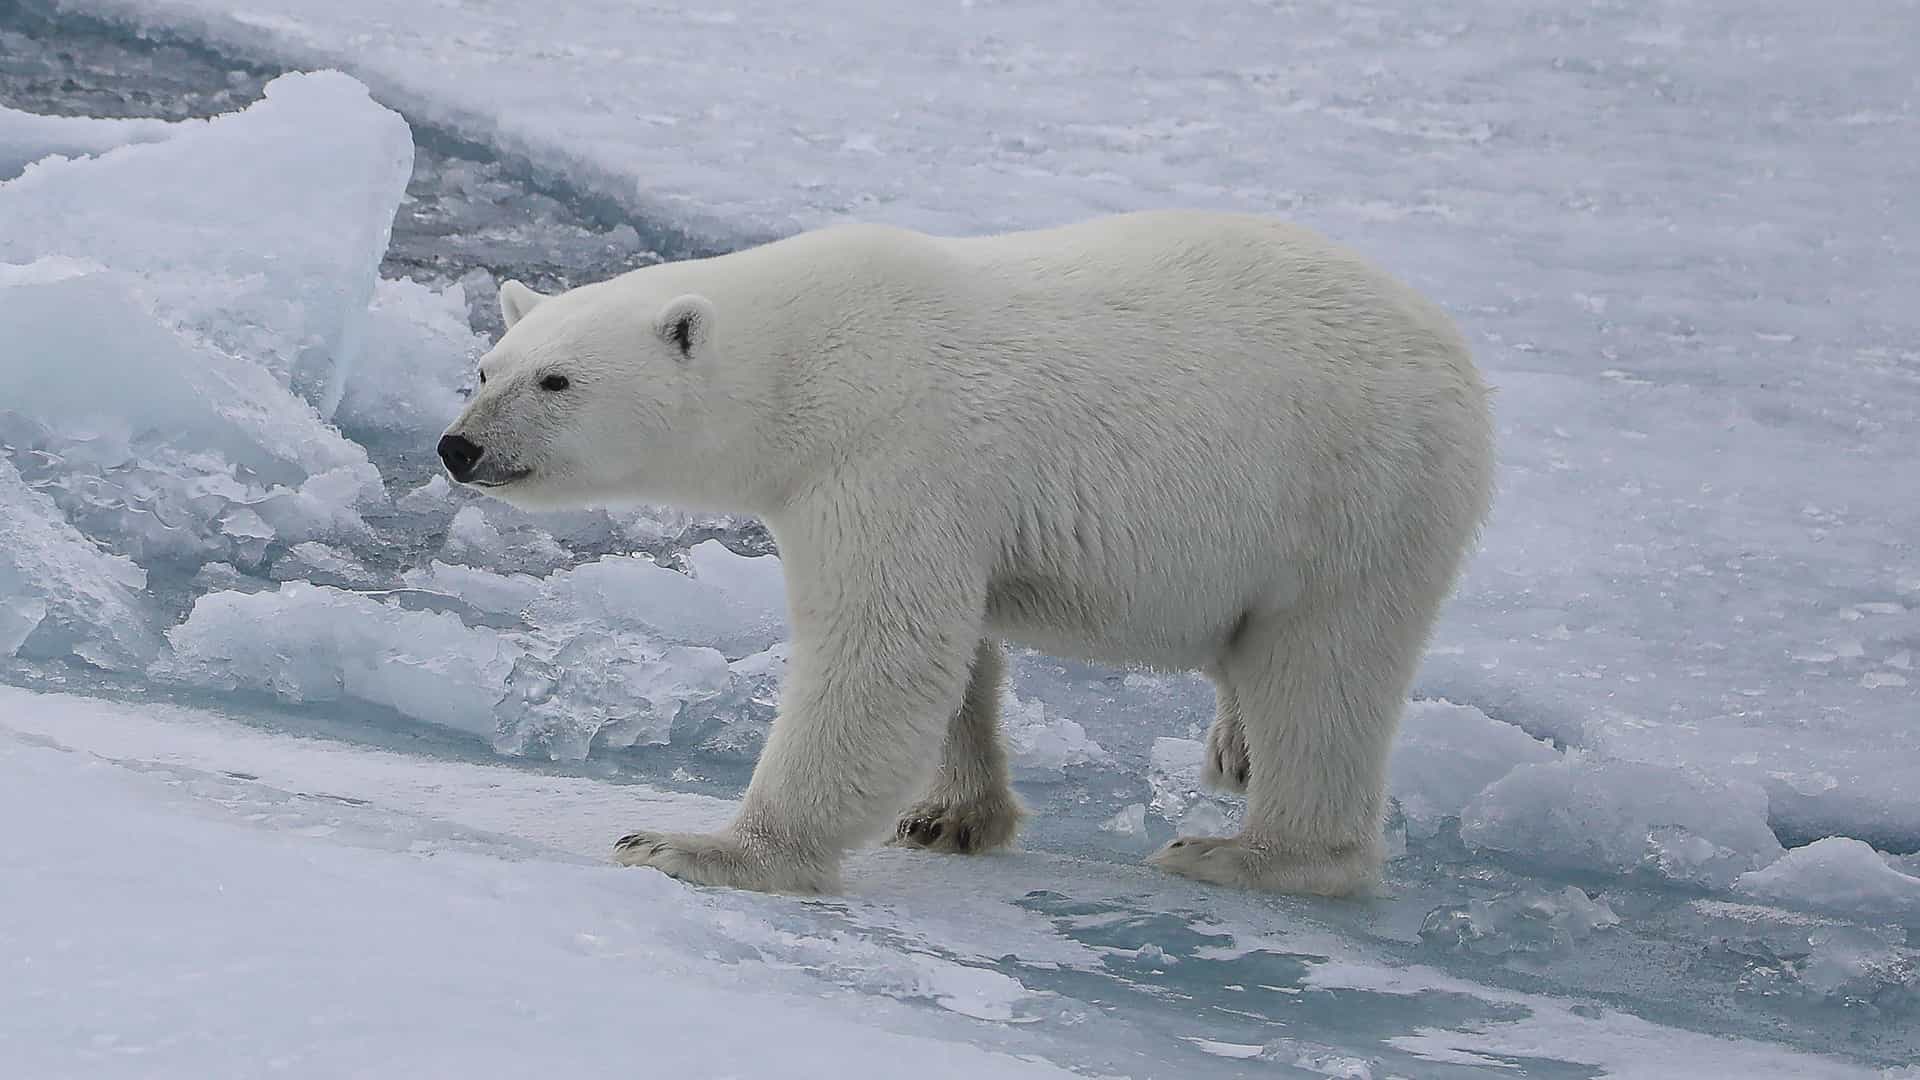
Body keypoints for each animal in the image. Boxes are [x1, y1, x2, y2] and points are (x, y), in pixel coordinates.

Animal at [438, 210, 1494, 897]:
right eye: (484, 368)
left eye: (555, 379)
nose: (459, 447)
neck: (812, 362)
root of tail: (1451, 347)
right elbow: (957, 654)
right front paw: (952, 817)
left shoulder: (895, 453)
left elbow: (885, 649)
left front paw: (694, 847)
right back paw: (1233, 751)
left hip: (1354, 492)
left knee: (1324, 669)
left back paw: (1247, 853)